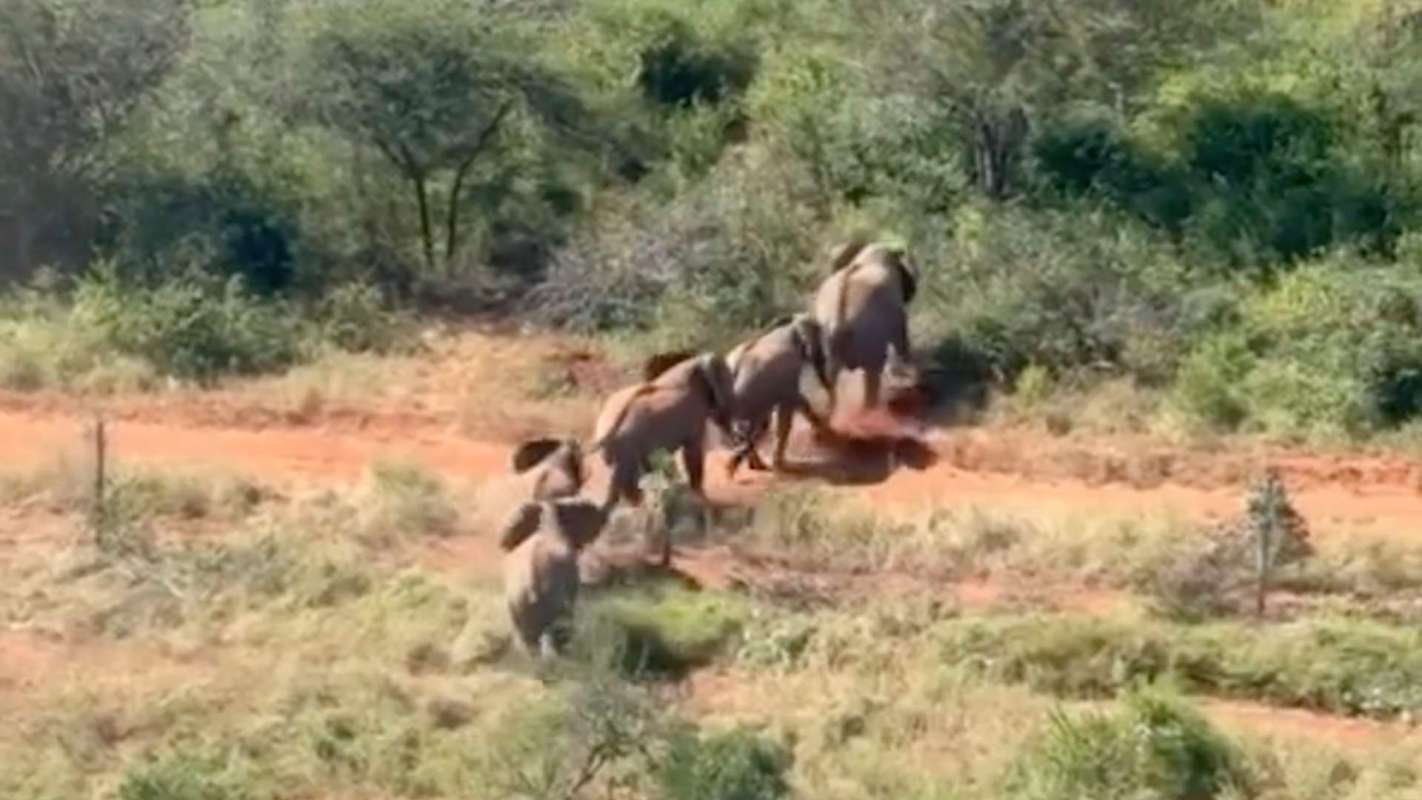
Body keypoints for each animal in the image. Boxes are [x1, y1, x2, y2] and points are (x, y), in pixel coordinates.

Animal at [589, 352, 735, 564]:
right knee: (627, 493)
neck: (694, 363)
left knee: (625, 494)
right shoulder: (694, 417)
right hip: (628, 450)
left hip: (620, 455)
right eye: (727, 380)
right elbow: (693, 457)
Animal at [722, 313, 836, 477]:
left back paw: (754, 465)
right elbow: (792, 404)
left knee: (750, 428)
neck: (790, 325)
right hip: (749, 393)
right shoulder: (787, 374)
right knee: (754, 426)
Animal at [811, 239, 920, 414]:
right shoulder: (896, 316)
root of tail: (838, 320)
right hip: (867, 337)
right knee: (872, 376)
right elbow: (901, 340)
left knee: (830, 383)